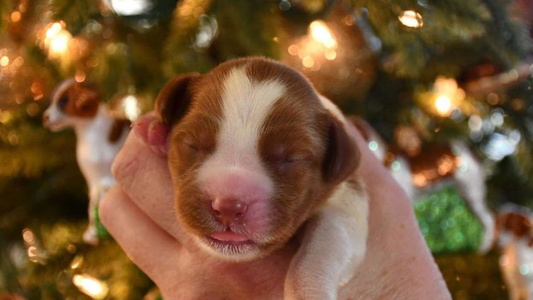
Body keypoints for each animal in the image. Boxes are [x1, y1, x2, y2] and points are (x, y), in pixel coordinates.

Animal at [156, 57, 368, 298]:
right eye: (193, 144)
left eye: (290, 159)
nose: (229, 206)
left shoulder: (347, 200)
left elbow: (321, 250)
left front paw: (307, 293)